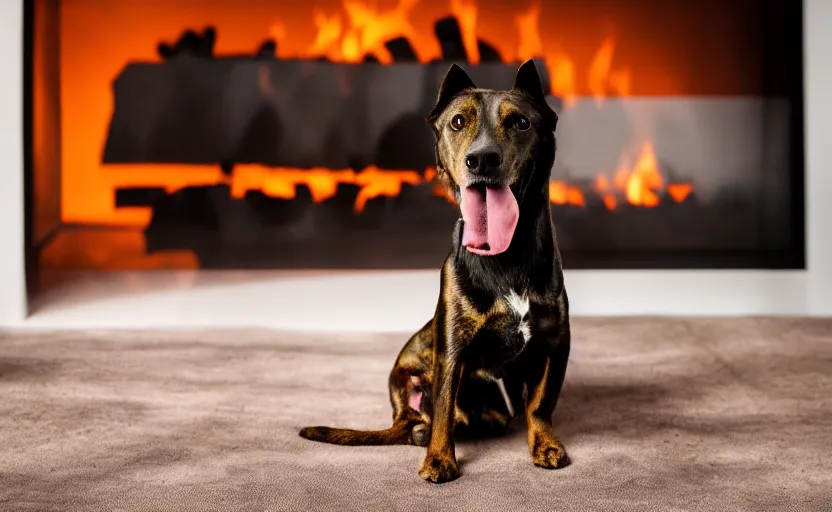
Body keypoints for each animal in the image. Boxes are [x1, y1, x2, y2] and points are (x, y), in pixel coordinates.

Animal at [296, 60, 568, 484]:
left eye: (521, 122)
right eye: (458, 122)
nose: (481, 159)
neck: (505, 257)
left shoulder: (554, 345)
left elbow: (540, 405)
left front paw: (545, 445)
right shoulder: (451, 350)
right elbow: (442, 406)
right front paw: (439, 459)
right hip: (403, 373)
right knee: (420, 418)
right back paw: (422, 432)